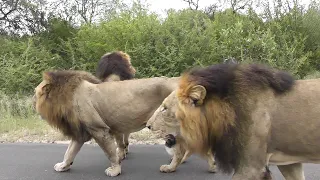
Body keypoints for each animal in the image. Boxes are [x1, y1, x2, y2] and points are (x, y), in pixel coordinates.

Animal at [33, 69, 180, 176]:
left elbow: (110, 152)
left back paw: (170, 166)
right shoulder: (80, 131)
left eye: (36, 93)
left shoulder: (99, 129)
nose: (32, 101)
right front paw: (63, 166)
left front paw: (115, 170)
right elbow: (69, 152)